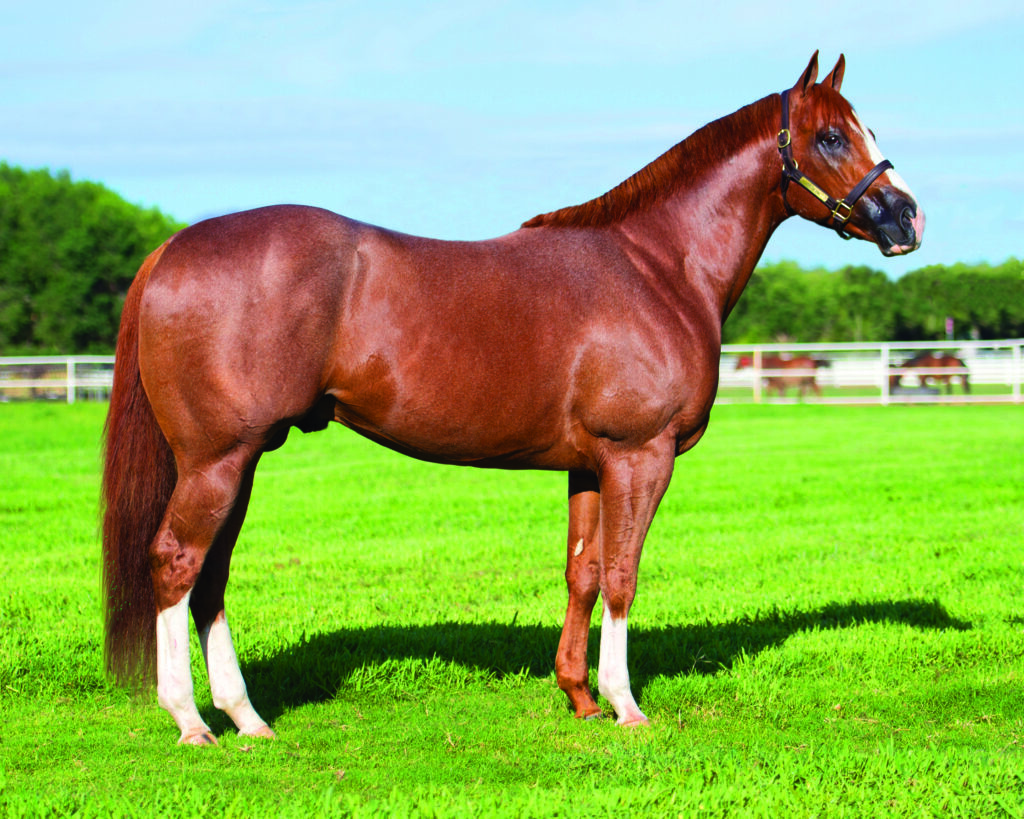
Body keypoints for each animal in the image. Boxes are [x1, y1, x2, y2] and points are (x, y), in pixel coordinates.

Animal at [101, 52, 923, 745]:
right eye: (829, 137)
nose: (906, 215)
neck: (658, 266)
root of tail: (172, 247)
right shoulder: (640, 455)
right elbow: (622, 574)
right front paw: (626, 705)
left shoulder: (590, 463)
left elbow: (583, 571)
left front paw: (580, 697)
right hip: (217, 458)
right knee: (177, 563)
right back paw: (192, 721)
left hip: (237, 459)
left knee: (210, 577)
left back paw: (247, 717)